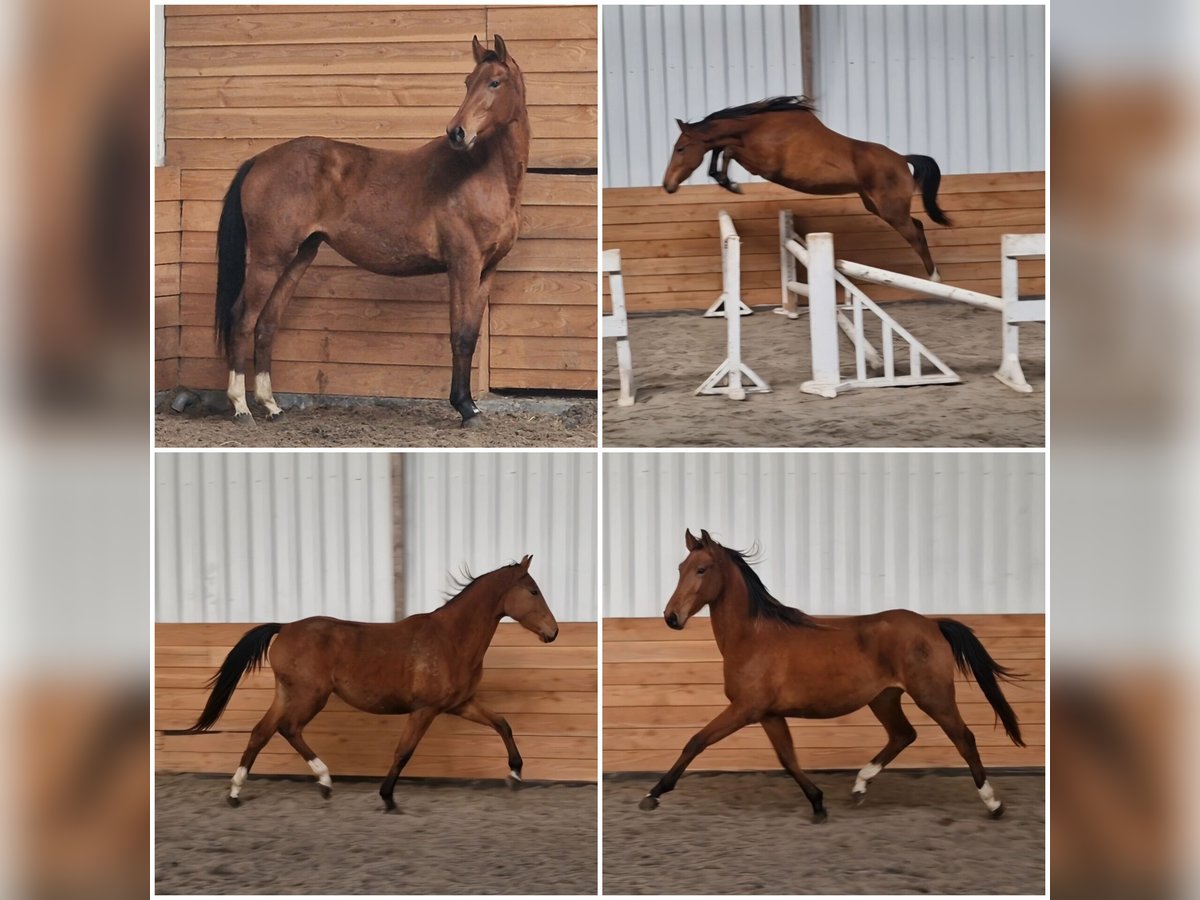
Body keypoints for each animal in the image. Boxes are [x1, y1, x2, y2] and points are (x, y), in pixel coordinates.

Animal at [164, 556, 558, 811]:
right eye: (533, 591)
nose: (553, 632)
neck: (451, 639)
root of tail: (285, 628)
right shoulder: (425, 710)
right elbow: (404, 751)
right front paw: (387, 797)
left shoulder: (460, 704)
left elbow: (503, 723)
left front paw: (515, 773)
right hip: (310, 696)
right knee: (288, 729)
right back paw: (323, 781)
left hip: (288, 693)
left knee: (262, 732)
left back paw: (236, 793)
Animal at [212, 34, 529, 427]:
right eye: (468, 82)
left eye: (494, 82)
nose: (457, 132)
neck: (483, 176)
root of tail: (259, 160)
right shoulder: (463, 265)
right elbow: (460, 335)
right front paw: (465, 407)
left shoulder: (487, 271)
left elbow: (470, 334)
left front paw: (469, 405)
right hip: (269, 259)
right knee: (243, 318)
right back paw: (240, 406)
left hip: (297, 258)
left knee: (267, 323)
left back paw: (271, 405)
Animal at [639, 530, 1024, 822]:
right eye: (681, 567)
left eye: (702, 569)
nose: (671, 617)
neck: (753, 637)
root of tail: (932, 624)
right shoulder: (769, 714)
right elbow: (788, 758)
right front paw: (818, 803)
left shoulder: (745, 709)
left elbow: (696, 741)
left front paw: (654, 794)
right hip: (884, 698)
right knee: (903, 735)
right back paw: (859, 787)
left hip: (933, 695)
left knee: (963, 738)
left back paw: (994, 803)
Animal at [661, 97, 952, 279]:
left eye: (681, 149)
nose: (667, 185)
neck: (759, 127)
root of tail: (902, 159)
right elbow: (722, 148)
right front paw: (724, 180)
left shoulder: (766, 167)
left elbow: (728, 149)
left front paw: (730, 184)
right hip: (877, 206)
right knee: (918, 226)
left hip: (891, 210)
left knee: (915, 234)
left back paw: (935, 278)